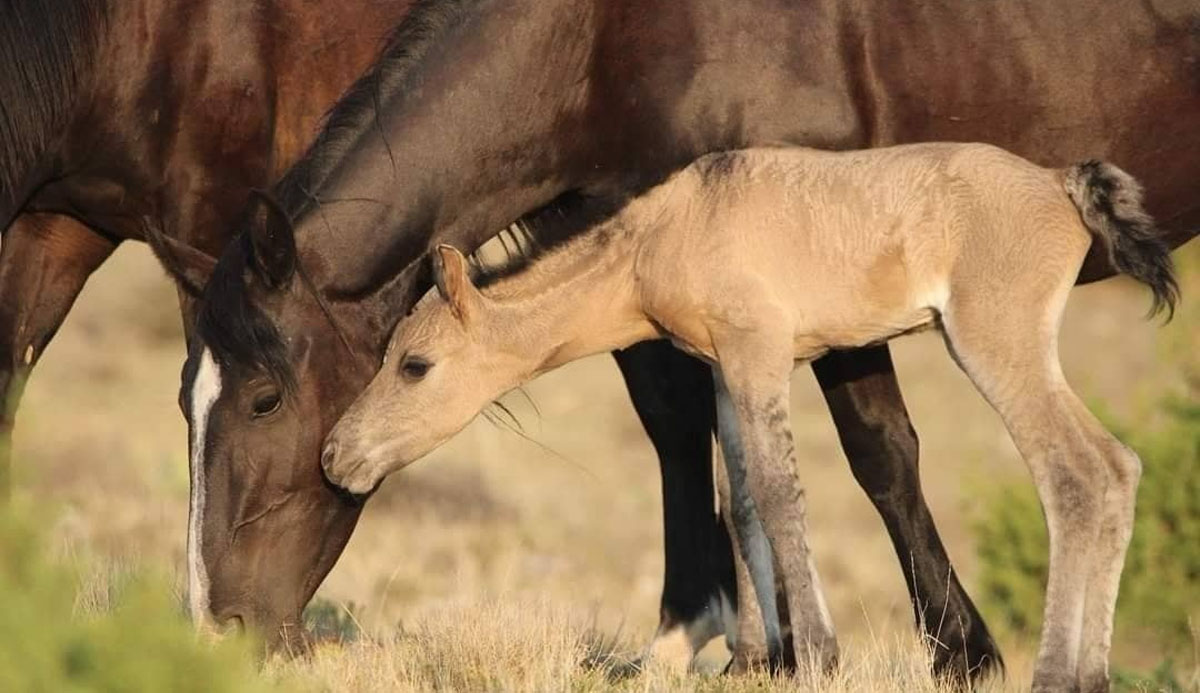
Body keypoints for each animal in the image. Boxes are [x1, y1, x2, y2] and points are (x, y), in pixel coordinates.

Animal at [321, 140, 1180, 685]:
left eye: (414, 364)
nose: (336, 455)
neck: (666, 230)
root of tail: (1061, 185)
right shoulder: (724, 369)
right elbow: (740, 501)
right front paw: (764, 659)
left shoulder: (760, 353)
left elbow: (777, 492)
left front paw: (819, 656)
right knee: (1122, 466)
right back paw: (1092, 672)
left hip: (995, 343)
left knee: (1080, 472)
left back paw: (1057, 673)